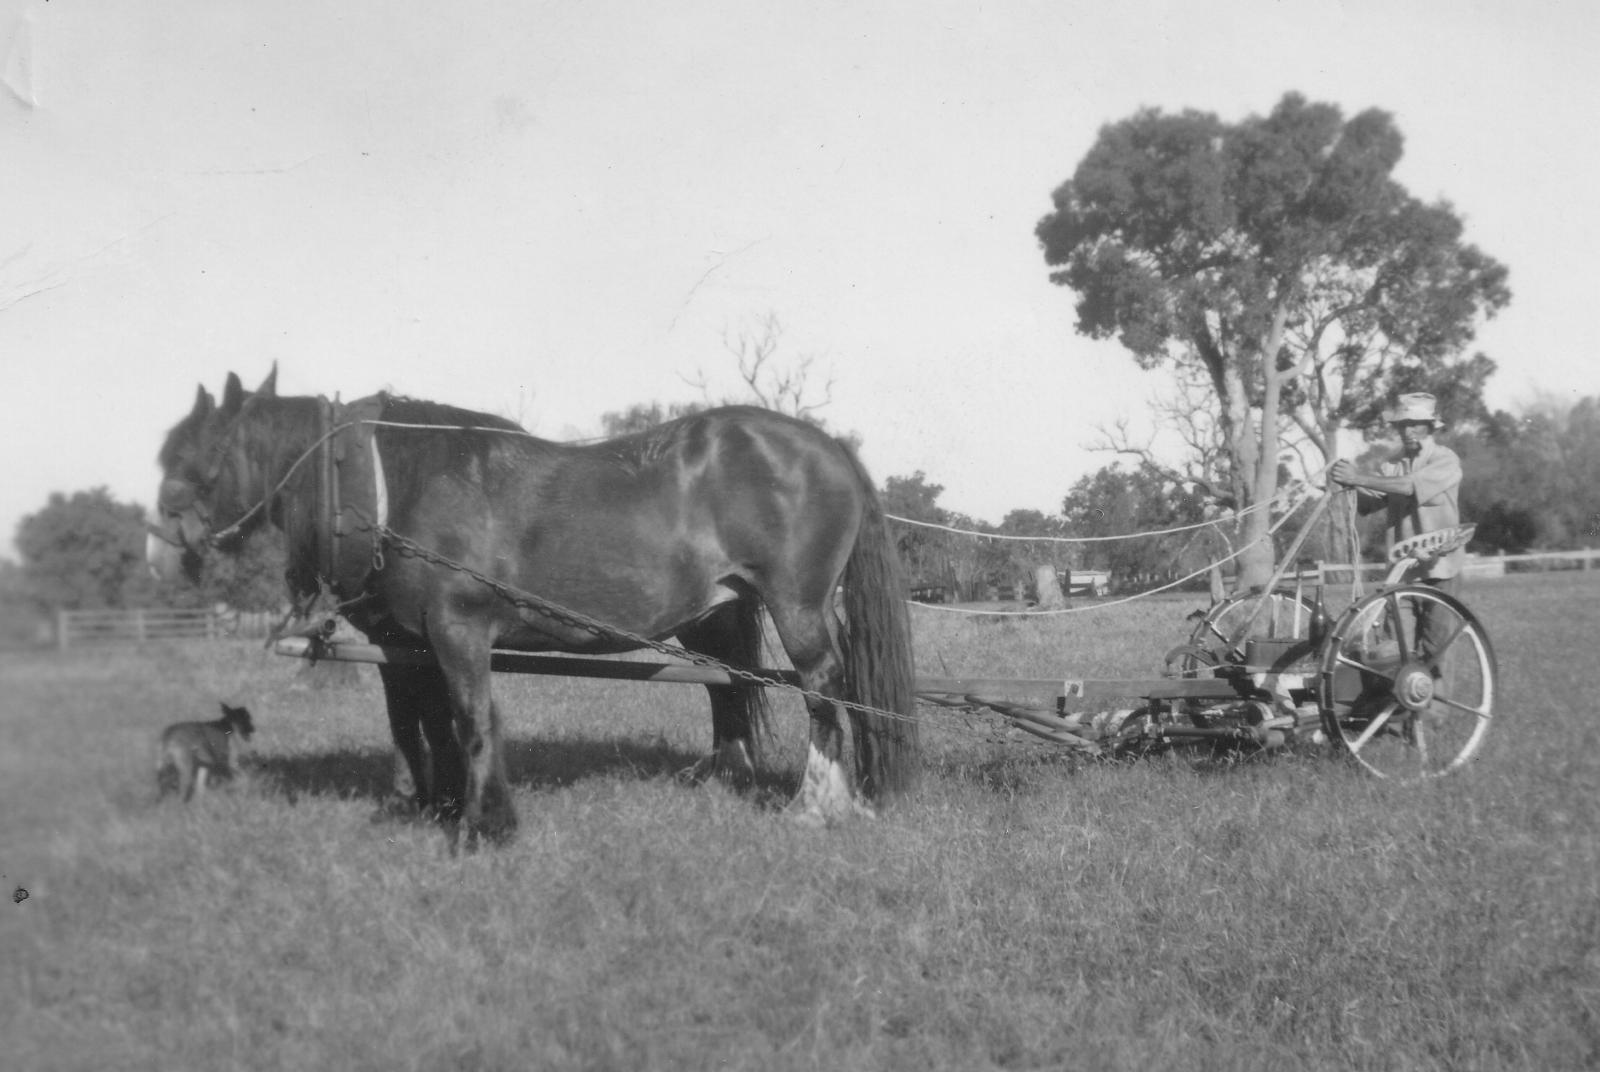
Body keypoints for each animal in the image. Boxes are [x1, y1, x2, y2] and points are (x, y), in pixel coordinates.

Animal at [150, 369, 928, 851]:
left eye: (191, 457)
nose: (160, 548)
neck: (393, 485)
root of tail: (826, 446)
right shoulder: (410, 645)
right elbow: (418, 727)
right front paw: (427, 806)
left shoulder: (459, 632)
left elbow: (472, 723)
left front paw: (480, 825)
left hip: (797, 608)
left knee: (823, 691)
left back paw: (818, 805)